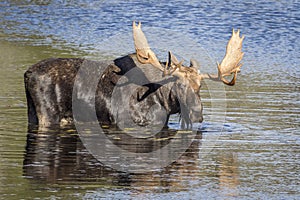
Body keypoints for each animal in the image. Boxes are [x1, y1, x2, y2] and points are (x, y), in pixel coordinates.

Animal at [24, 21, 244, 128]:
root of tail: (27, 74)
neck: (165, 102)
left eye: (200, 87)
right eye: (180, 85)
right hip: (48, 115)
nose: (198, 114)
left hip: (33, 113)